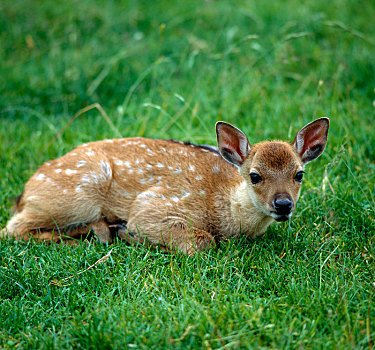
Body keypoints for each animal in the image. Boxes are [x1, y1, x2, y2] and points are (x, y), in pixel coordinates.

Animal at [0, 117, 328, 254]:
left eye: (299, 174)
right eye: (255, 175)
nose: (283, 204)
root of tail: (25, 192)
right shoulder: (154, 205)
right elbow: (202, 243)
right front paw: (129, 233)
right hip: (76, 197)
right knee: (11, 229)